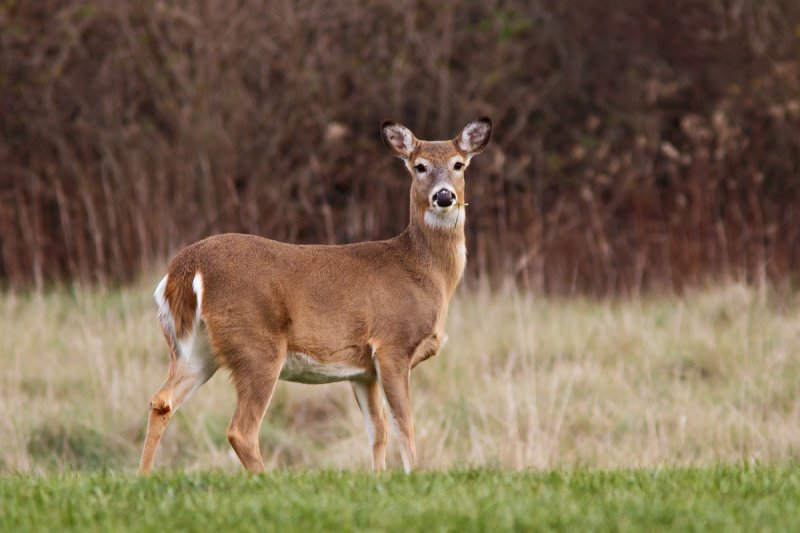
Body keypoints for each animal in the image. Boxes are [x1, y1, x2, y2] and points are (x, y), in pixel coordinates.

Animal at [139, 117, 494, 474]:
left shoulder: (363, 369)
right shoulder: (392, 345)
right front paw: (412, 475)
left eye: (458, 164)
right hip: (257, 346)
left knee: (161, 401)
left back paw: (144, 475)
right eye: (419, 166)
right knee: (240, 429)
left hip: (194, 349)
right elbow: (403, 422)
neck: (423, 272)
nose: (444, 195)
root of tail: (186, 269)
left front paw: (378, 476)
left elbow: (377, 430)